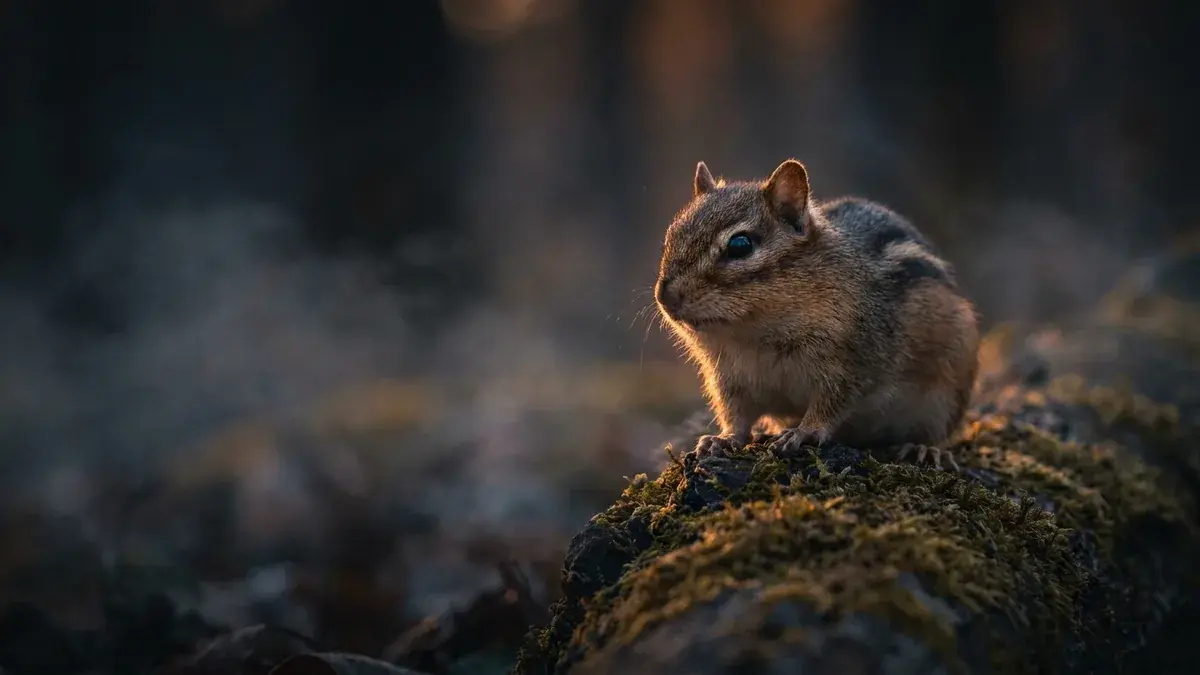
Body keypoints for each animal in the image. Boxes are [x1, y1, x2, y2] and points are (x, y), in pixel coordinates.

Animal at [653, 158, 980, 468]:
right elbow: (736, 415)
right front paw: (722, 439)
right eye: (671, 235)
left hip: (947, 392)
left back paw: (922, 448)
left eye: (740, 244)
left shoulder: (854, 360)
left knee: (935, 432)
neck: (753, 333)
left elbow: (831, 403)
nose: (665, 296)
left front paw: (803, 431)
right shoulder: (728, 379)